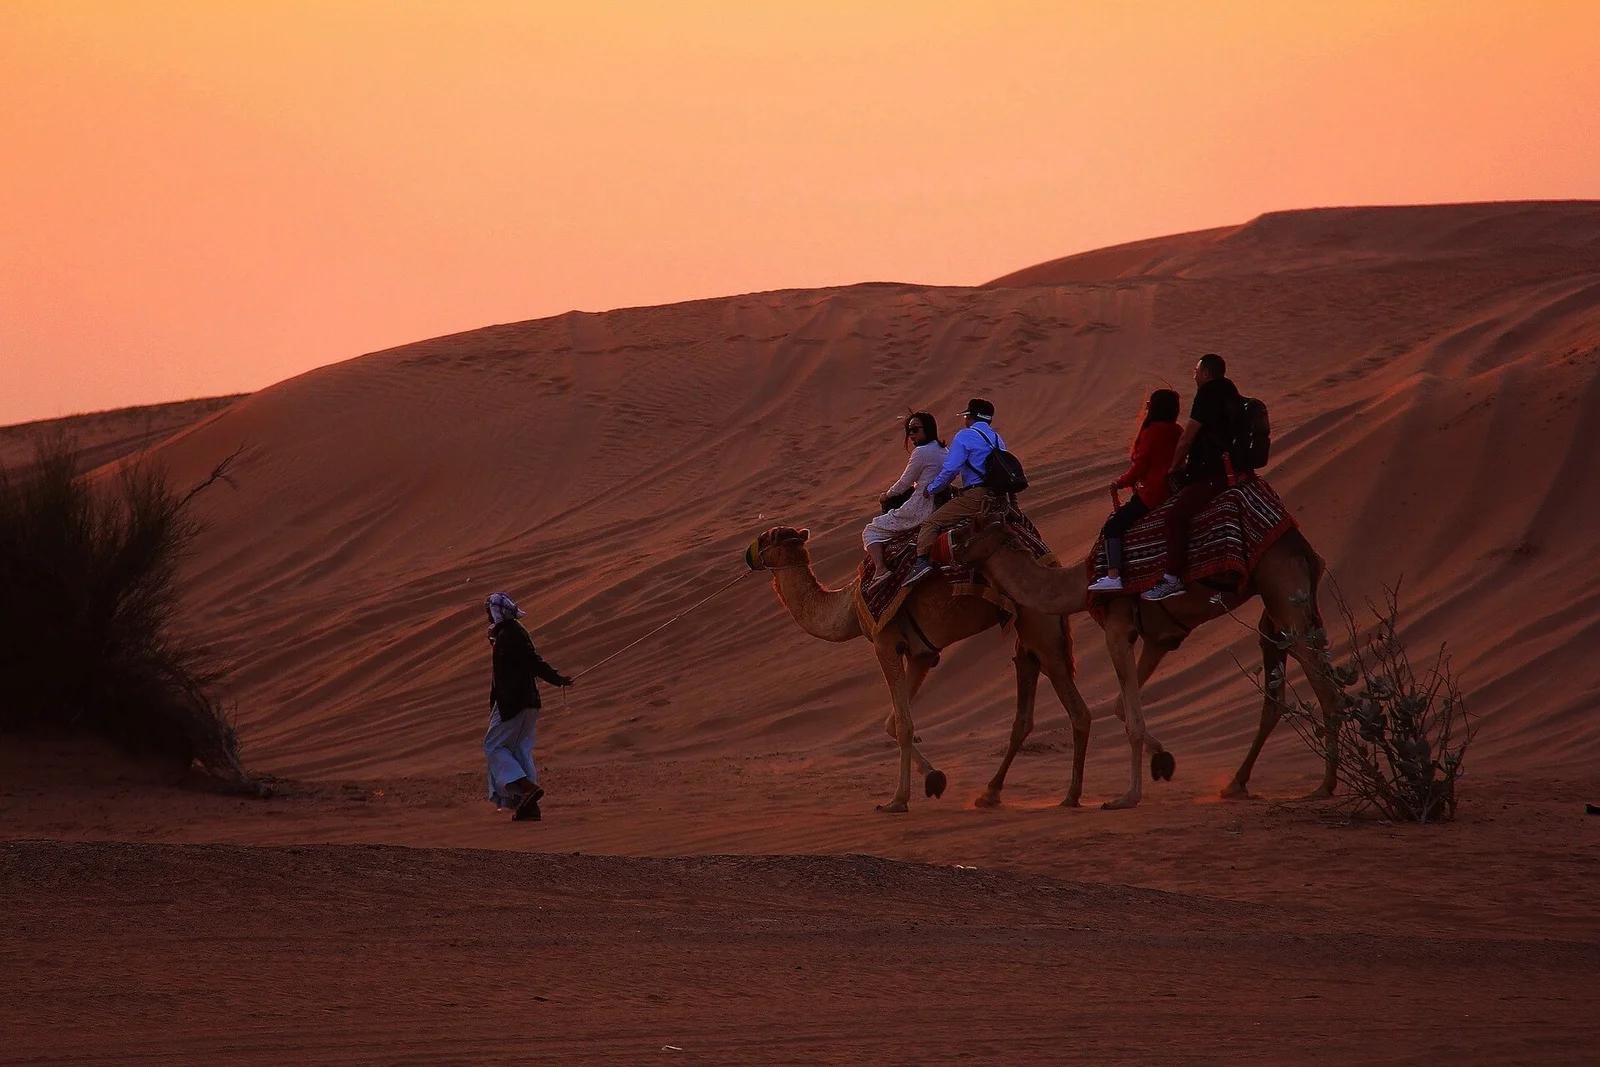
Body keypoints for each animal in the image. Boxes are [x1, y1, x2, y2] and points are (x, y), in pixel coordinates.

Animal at [742, 531, 1094, 812]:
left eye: (767, 537)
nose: (747, 554)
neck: (848, 607)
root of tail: (1052, 565)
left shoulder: (884, 643)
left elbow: (903, 724)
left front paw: (897, 800)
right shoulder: (922, 654)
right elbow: (893, 723)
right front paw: (935, 780)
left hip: (1039, 625)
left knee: (1076, 708)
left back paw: (1071, 796)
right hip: (1029, 634)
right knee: (1024, 710)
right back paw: (991, 794)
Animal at [953, 518, 1344, 809]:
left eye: (970, 531)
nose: (952, 550)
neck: (1081, 584)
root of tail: (1305, 548)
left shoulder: (1117, 627)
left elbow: (1132, 719)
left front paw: (1128, 796)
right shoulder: (1160, 638)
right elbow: (1120, 707)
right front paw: (1163, 761)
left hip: (1281, 587)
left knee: (1325, 688)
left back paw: (1324, 786)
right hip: (1275, 613)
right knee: (1276, 694)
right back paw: (1236, 783)